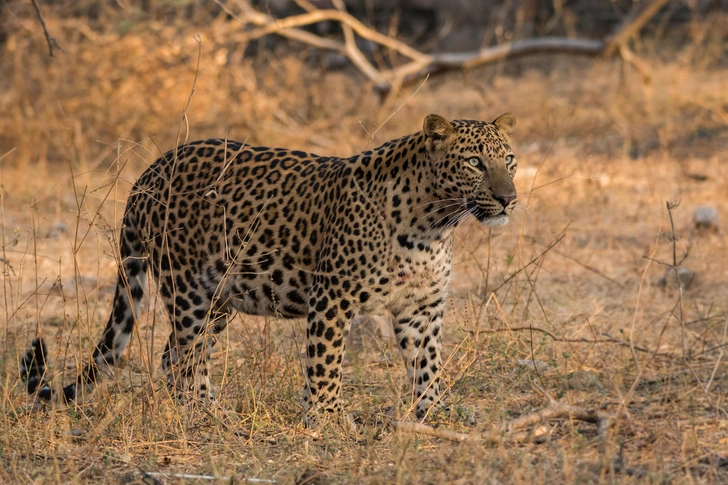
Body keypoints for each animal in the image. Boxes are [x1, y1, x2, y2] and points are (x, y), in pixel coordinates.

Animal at [21, 111, 516, 426]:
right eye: (475, 163)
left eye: (508, 160)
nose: (509, 198)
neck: (435, 223)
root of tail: (150, 171)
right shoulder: (332, 296)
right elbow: (325, 362)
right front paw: (327, 420)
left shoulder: (422, 308)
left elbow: (428, 363)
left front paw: (437, 411)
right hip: (188, 290)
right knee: (182, 356)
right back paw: (202, 414)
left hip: (219, 299)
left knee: (178, 355)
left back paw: (203, 408)